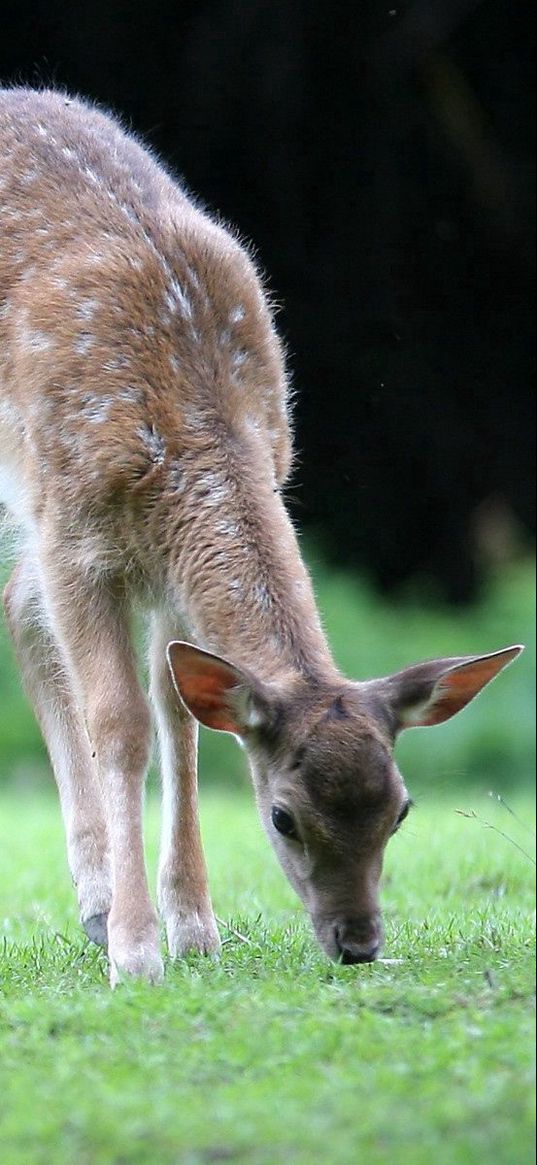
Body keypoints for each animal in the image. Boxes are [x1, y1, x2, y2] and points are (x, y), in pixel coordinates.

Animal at [0, 86, 519, 987]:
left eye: (400, 808)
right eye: (281, 816)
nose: (357, 942)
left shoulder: (163, 563)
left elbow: (179, 719)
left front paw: (192, 928)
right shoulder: (73, 531)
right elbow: (121, 724)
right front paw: (135, 951)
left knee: (15, 600)